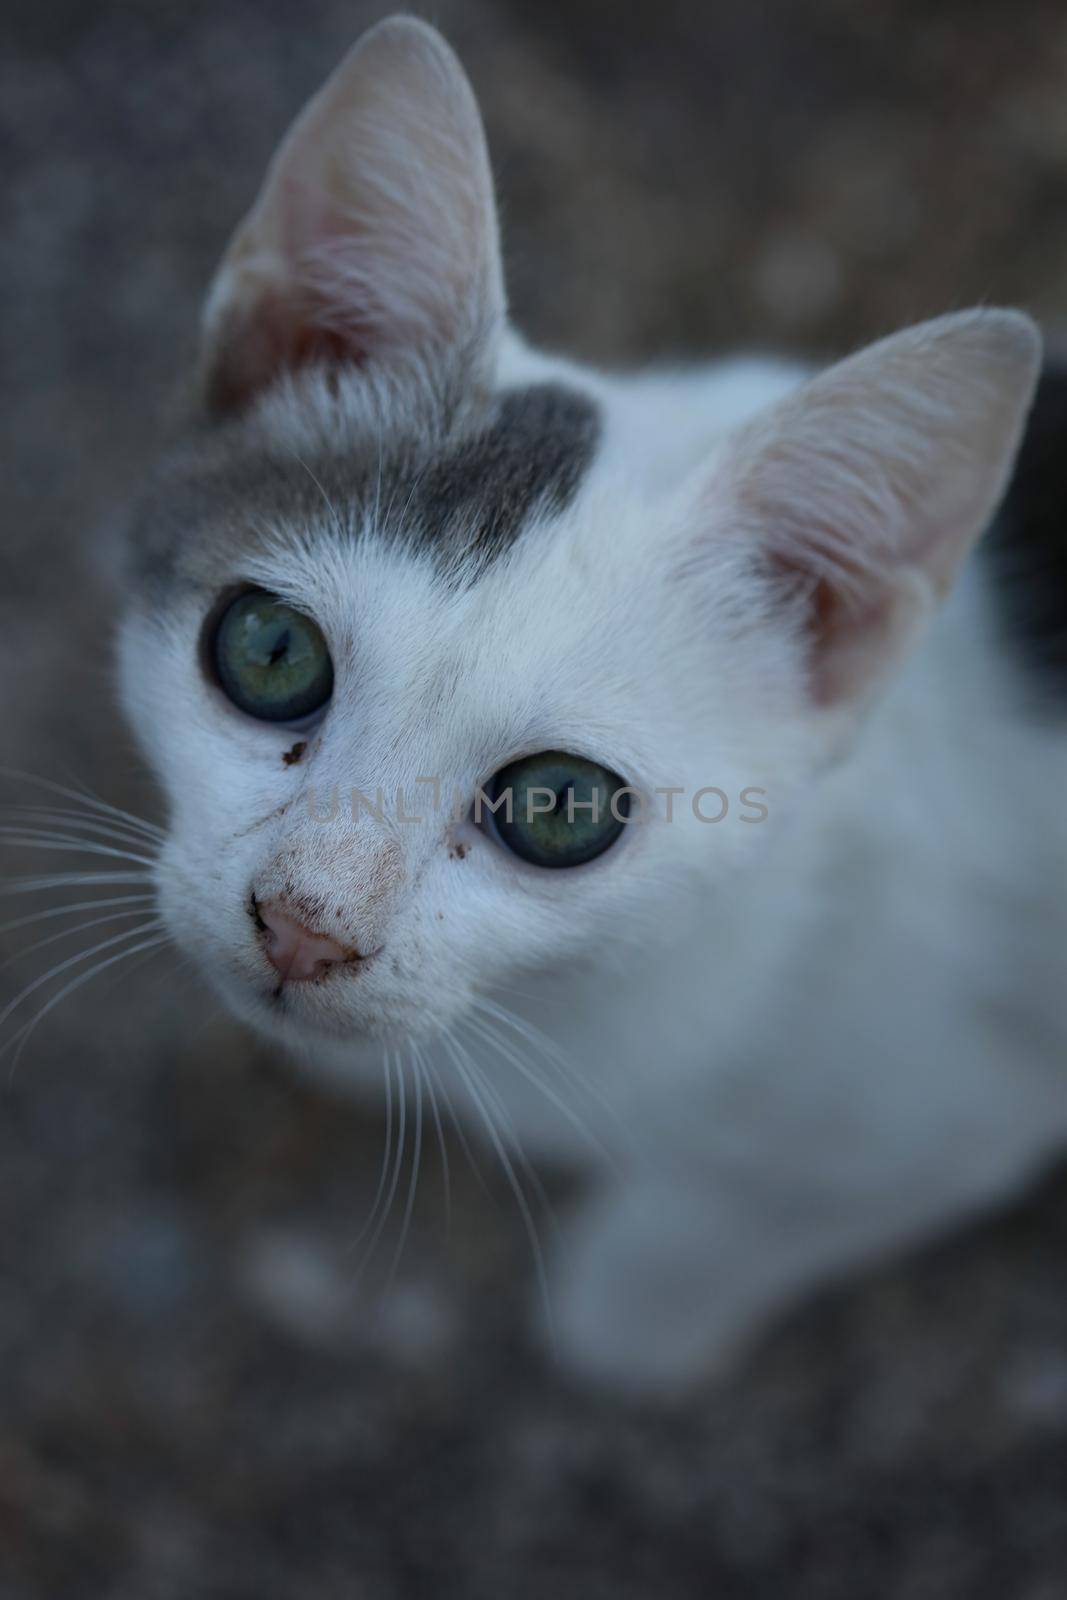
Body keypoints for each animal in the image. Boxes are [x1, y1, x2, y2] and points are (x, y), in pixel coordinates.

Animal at [110, 9, 1067, 1388]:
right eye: (272, 652)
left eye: (558, 807)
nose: (302, 926)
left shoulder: (955, 1110)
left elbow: (754, 1214)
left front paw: (634, 1312)